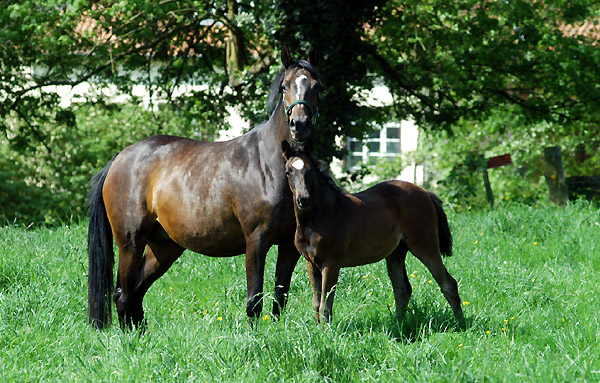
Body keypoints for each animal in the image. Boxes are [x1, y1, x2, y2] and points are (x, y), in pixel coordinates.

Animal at [87, 46, 322, 330]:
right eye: (284, 87)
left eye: (317, 86)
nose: (300, 124)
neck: (269, 164)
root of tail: (119, 158)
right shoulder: (256, 240)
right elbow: (254, 299)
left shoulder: (288, 245)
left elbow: (280, 295)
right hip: (130, 243)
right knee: (123, 294)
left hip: (164, 247)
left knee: (135, 293)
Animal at [282, 144, 464, 328]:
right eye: (288, 172)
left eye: (310, 170)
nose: (303, 199)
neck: (319, 217)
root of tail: (426, 192)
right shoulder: (311, 264)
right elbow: (316, 303)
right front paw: (319, 330)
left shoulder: (331, 264)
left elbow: (325, 304)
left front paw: (328, 331)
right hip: (396, 254)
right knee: (402, 290)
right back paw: (397, 326)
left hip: (425, 247)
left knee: (448, 284)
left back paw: (461, 324)